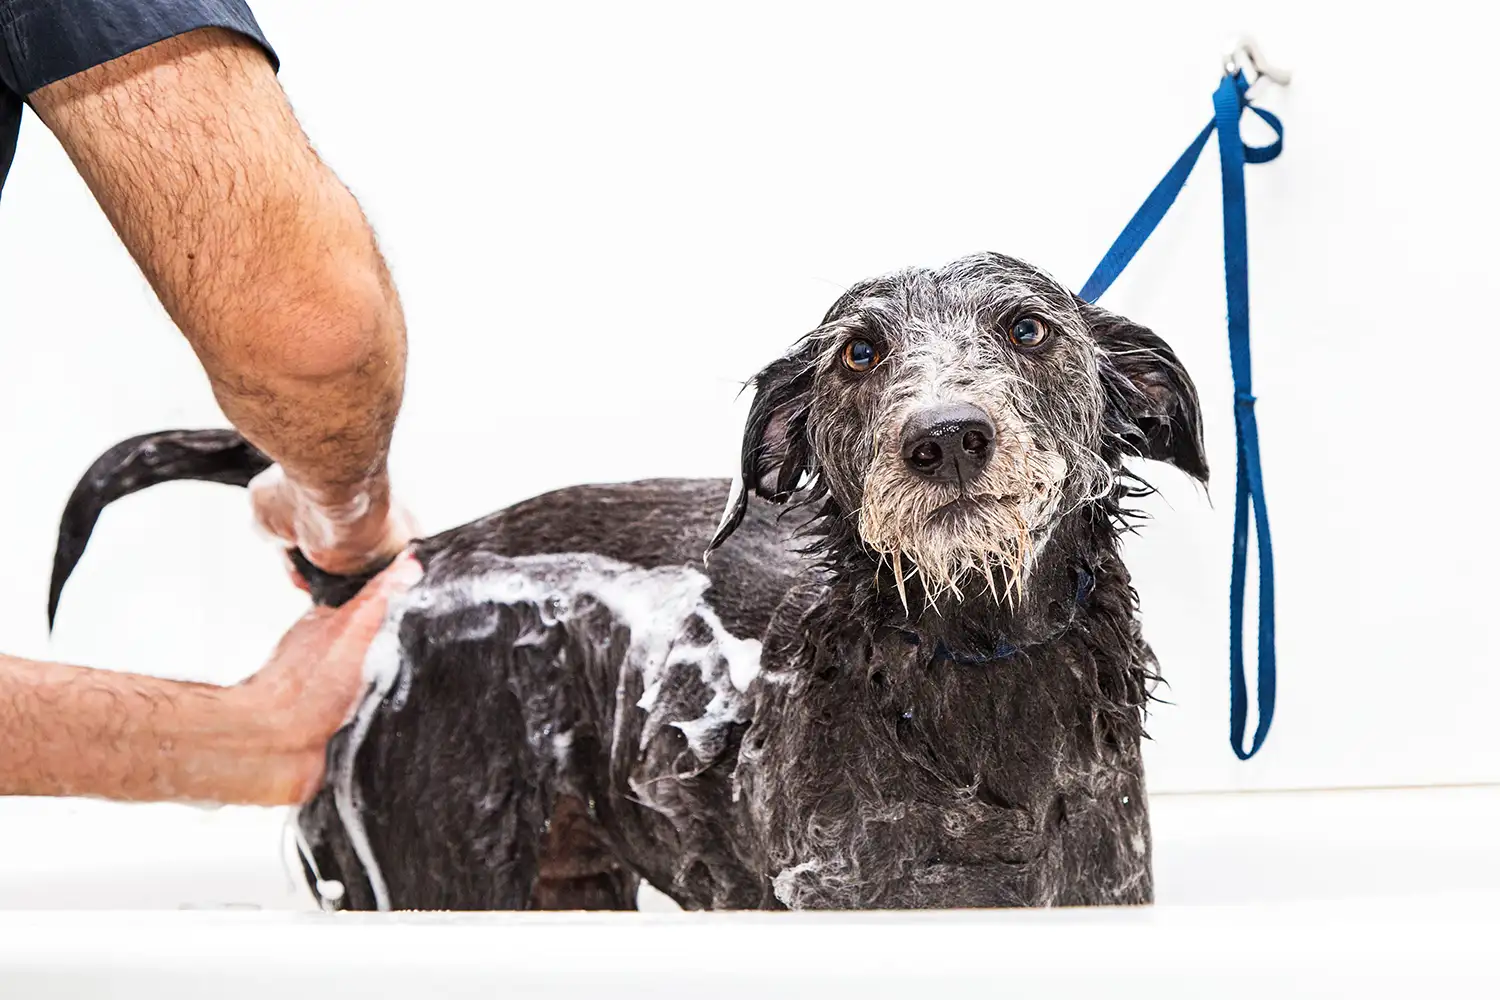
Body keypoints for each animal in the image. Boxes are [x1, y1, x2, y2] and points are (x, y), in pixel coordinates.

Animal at [46, 248, 1206, 905]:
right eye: (860, 355)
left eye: (1029, 328)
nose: (948, 437)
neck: (973, 669)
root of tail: (408, 572)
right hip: (449, 878)